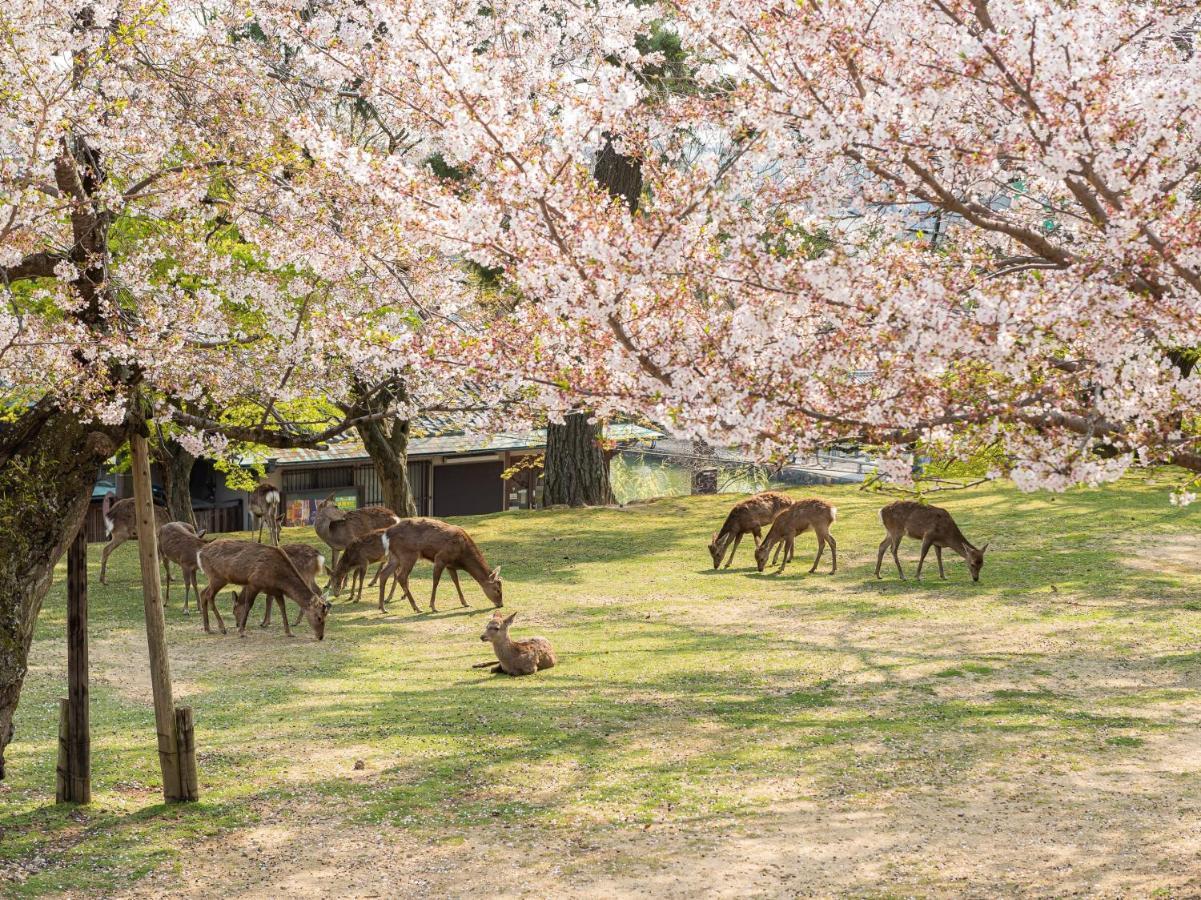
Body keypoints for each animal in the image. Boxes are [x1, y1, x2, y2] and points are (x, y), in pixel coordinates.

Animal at [196, 538, 331, 634]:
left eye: (234, 611)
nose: (237, 624)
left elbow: (269, 601)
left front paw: (264, 623)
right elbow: (268, 600)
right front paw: (264, 623)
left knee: (206, 593)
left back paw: (215, 628)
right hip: (216, 577)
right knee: (206, 593)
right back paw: (215, 628)